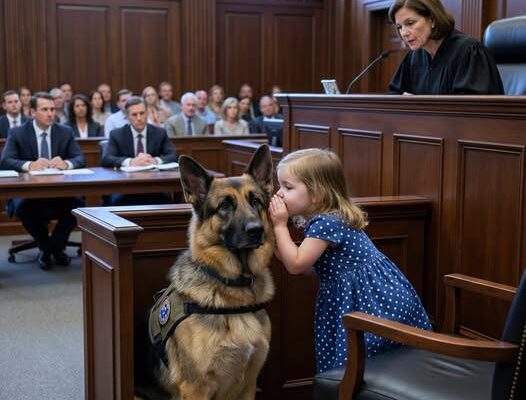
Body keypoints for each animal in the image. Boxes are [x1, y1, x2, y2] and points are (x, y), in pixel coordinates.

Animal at [145, 144, 275, 399]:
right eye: (225, 205)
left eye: (256, 201)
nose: (257, 230)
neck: (235, 289)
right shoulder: (195, 388)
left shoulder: (249, 386)